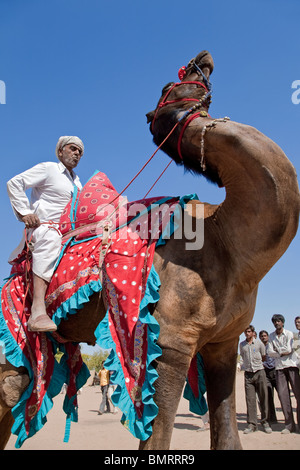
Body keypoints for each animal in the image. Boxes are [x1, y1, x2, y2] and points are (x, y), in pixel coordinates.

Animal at [0, 49, 300, 450]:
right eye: (169, 84)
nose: (201, 58)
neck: (228, 240)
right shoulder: (170, 343)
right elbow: (156, 439)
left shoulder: (223, 344)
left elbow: (227, 437)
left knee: (13, 391)